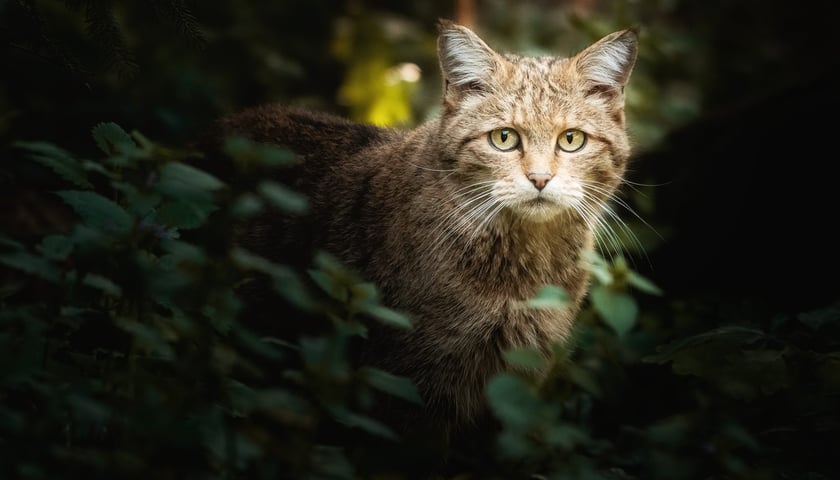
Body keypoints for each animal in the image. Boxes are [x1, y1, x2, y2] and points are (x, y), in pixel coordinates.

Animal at [203, 19, 636, 436]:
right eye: (504, 138)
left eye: (571, 139)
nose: (541, 179)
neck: (525, 266)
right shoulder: (413, 387)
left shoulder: (513, 390)